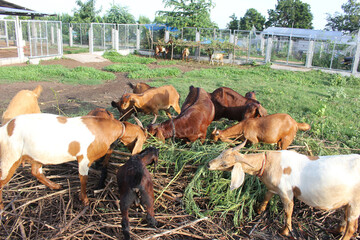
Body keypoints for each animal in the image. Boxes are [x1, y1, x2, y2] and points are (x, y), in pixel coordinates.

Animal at [207, 141, 360, 240]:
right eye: (221, 153)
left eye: (225, 164)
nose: (208, 164)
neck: (270, 162)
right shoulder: (273, 188)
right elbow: (266, 196)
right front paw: (259, 210)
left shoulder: (286, 192)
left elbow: (288, 211)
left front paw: (285, 231)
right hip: (348, 202)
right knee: (346, 219)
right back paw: (335, 230)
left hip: (356, 203)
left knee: (351, 228)